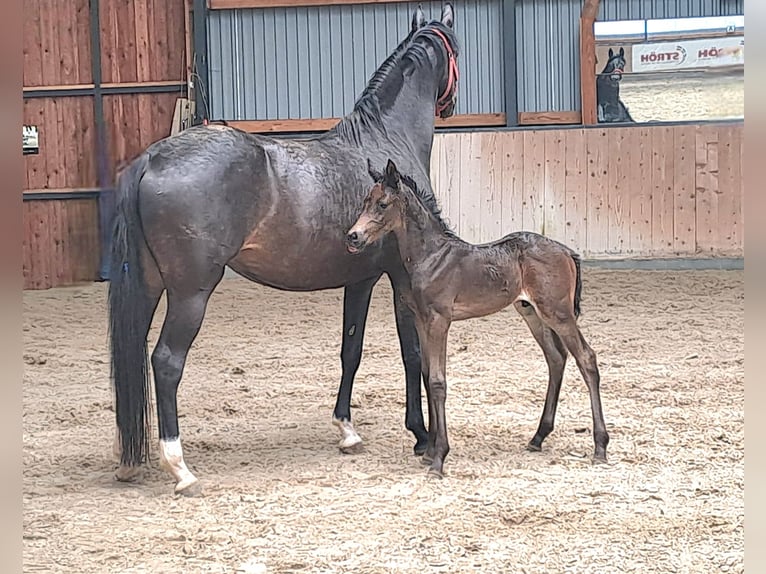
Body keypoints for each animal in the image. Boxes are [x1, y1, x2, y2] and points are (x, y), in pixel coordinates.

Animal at [108, 4, 460, 495]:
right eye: (455, 49)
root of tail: (153, 158)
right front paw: (422, 435)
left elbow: (350, 350)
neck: (384, 141)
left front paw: (347, 431)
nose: (451, 103)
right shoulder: (400, 276)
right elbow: (413, 354)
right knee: (165, 361)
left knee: (132, 356)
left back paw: (130, 459)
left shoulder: (360, 279)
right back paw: (179, 467)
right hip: (190, 294)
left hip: (146, 286)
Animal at [345, 159, 609, 478]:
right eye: (364, 202)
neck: (432, 257)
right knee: (556, 358)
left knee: (586, 357)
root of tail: (568, 252)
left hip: (558, 312)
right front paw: (429, 451)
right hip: (531, 311)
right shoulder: (421, 320)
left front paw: (438, 459)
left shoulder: (439, 320)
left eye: (382, 204)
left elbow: (438, 381)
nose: (353, 236)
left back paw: (600, 447)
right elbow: (426, 374)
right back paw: (538, 437)